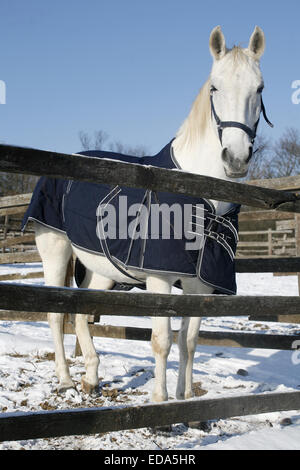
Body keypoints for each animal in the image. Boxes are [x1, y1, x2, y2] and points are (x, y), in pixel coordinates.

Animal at [34, 24, 268, 400]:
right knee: (55, 315)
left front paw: (185, 401)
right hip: (55, 250)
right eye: (215, 87)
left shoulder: (201, 285)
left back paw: (91, 378)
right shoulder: (160, 279)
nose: (235, 158)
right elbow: (162, 341)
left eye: (259, 88)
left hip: (100, 270)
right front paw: (160, 401)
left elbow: (189, 341)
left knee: (82, 314)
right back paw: (66, 379)